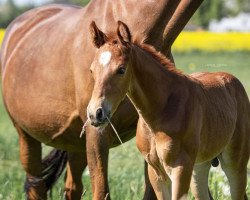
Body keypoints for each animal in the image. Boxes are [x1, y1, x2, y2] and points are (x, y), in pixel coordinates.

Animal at [0, 0, 203, 199]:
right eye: (91, 70)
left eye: (121, 70)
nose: (96, 112)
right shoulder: (97, 133)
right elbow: (101, 191)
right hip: (26, 136)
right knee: (36, 185)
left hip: (77, 146)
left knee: (72, 187)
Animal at [87, 21, 249, 199]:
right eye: (92, 70)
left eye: (121, 69)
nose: (95, 113)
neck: (160, 112)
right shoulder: (156, 171)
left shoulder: (180, 167)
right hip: (199, 168)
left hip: (235, 163)